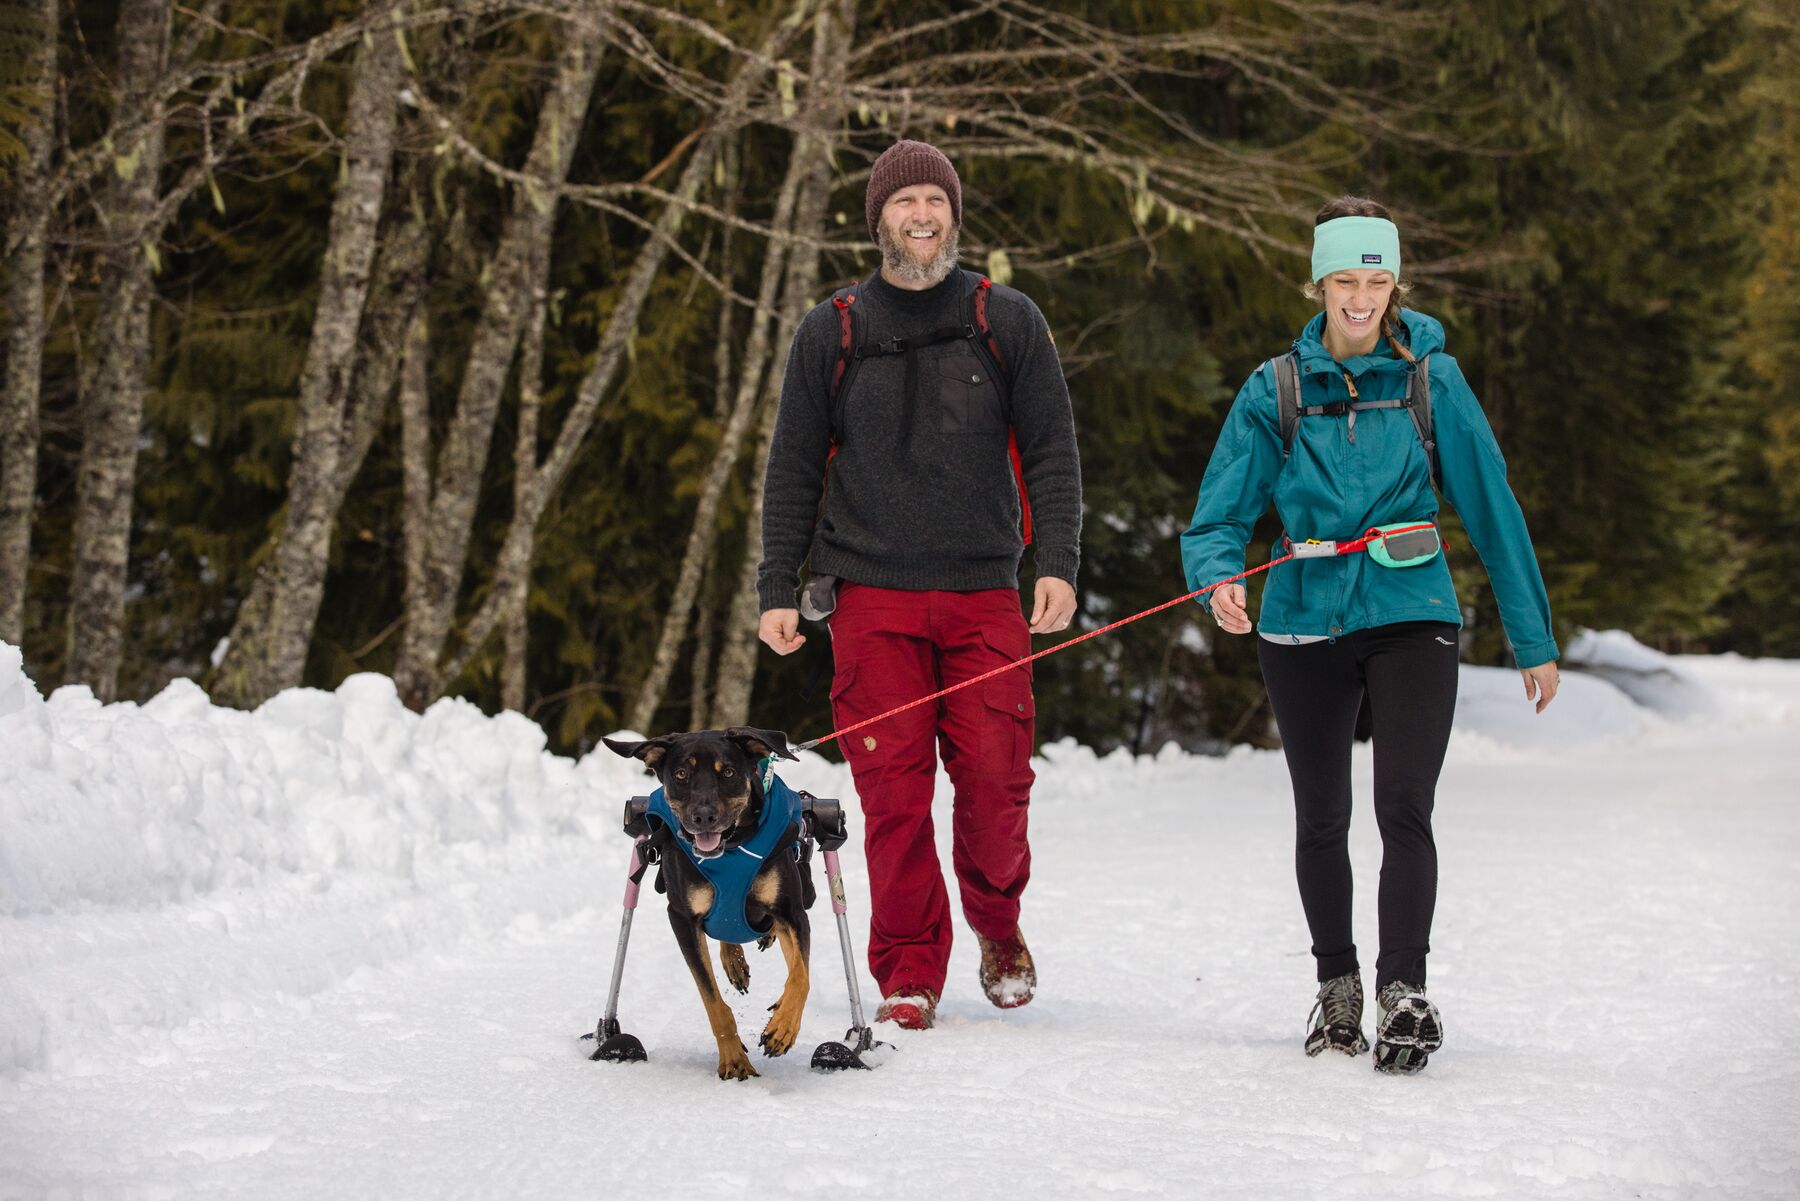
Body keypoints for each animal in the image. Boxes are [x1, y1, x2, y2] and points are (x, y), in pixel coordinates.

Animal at [604, 727, 817, 1087]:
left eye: (728, 772)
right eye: (680, 774)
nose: (704, 816)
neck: (731, 849)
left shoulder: (792, 912)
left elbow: (801, 977)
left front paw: (782, 1028)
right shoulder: (682, 919)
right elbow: (713, 1001)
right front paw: (734, 1061)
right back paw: (735, 961)